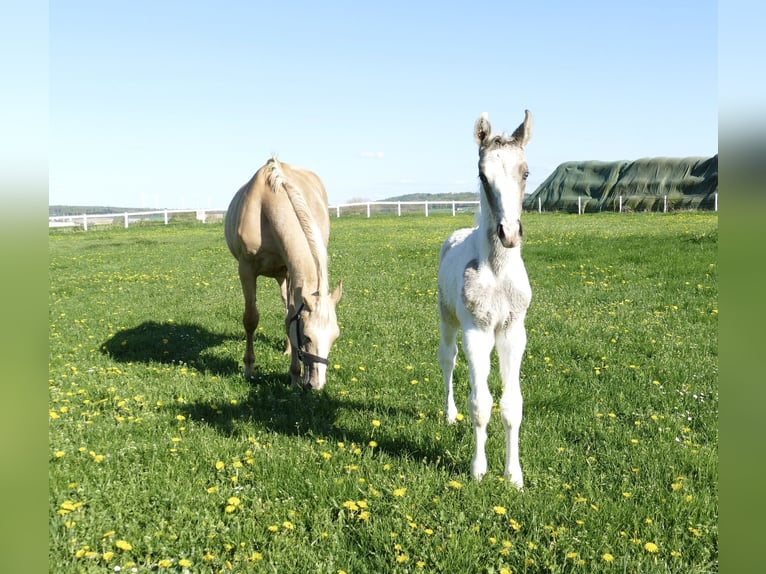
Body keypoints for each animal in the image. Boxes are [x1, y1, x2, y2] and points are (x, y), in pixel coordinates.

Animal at [225, 157, 342, 390]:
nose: (317, 385)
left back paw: (288, 350)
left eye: (335, 336)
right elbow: (250, 318)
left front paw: (294, 375)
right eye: (307, 336)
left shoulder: (291, 270)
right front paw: (249, 367)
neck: (266, 204)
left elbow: (290, 318)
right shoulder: (246, 268)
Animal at [437, 110, 533, 488]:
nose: (509, 233)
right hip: (447, 319)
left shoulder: (512, 332)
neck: (497, 273)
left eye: (525, 172)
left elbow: (511, 405)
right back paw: (449, 414)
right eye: (482, 174)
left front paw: (514, 475)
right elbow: (480, 405)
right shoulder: (475, 333)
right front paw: (478, 469)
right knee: (447, 361)